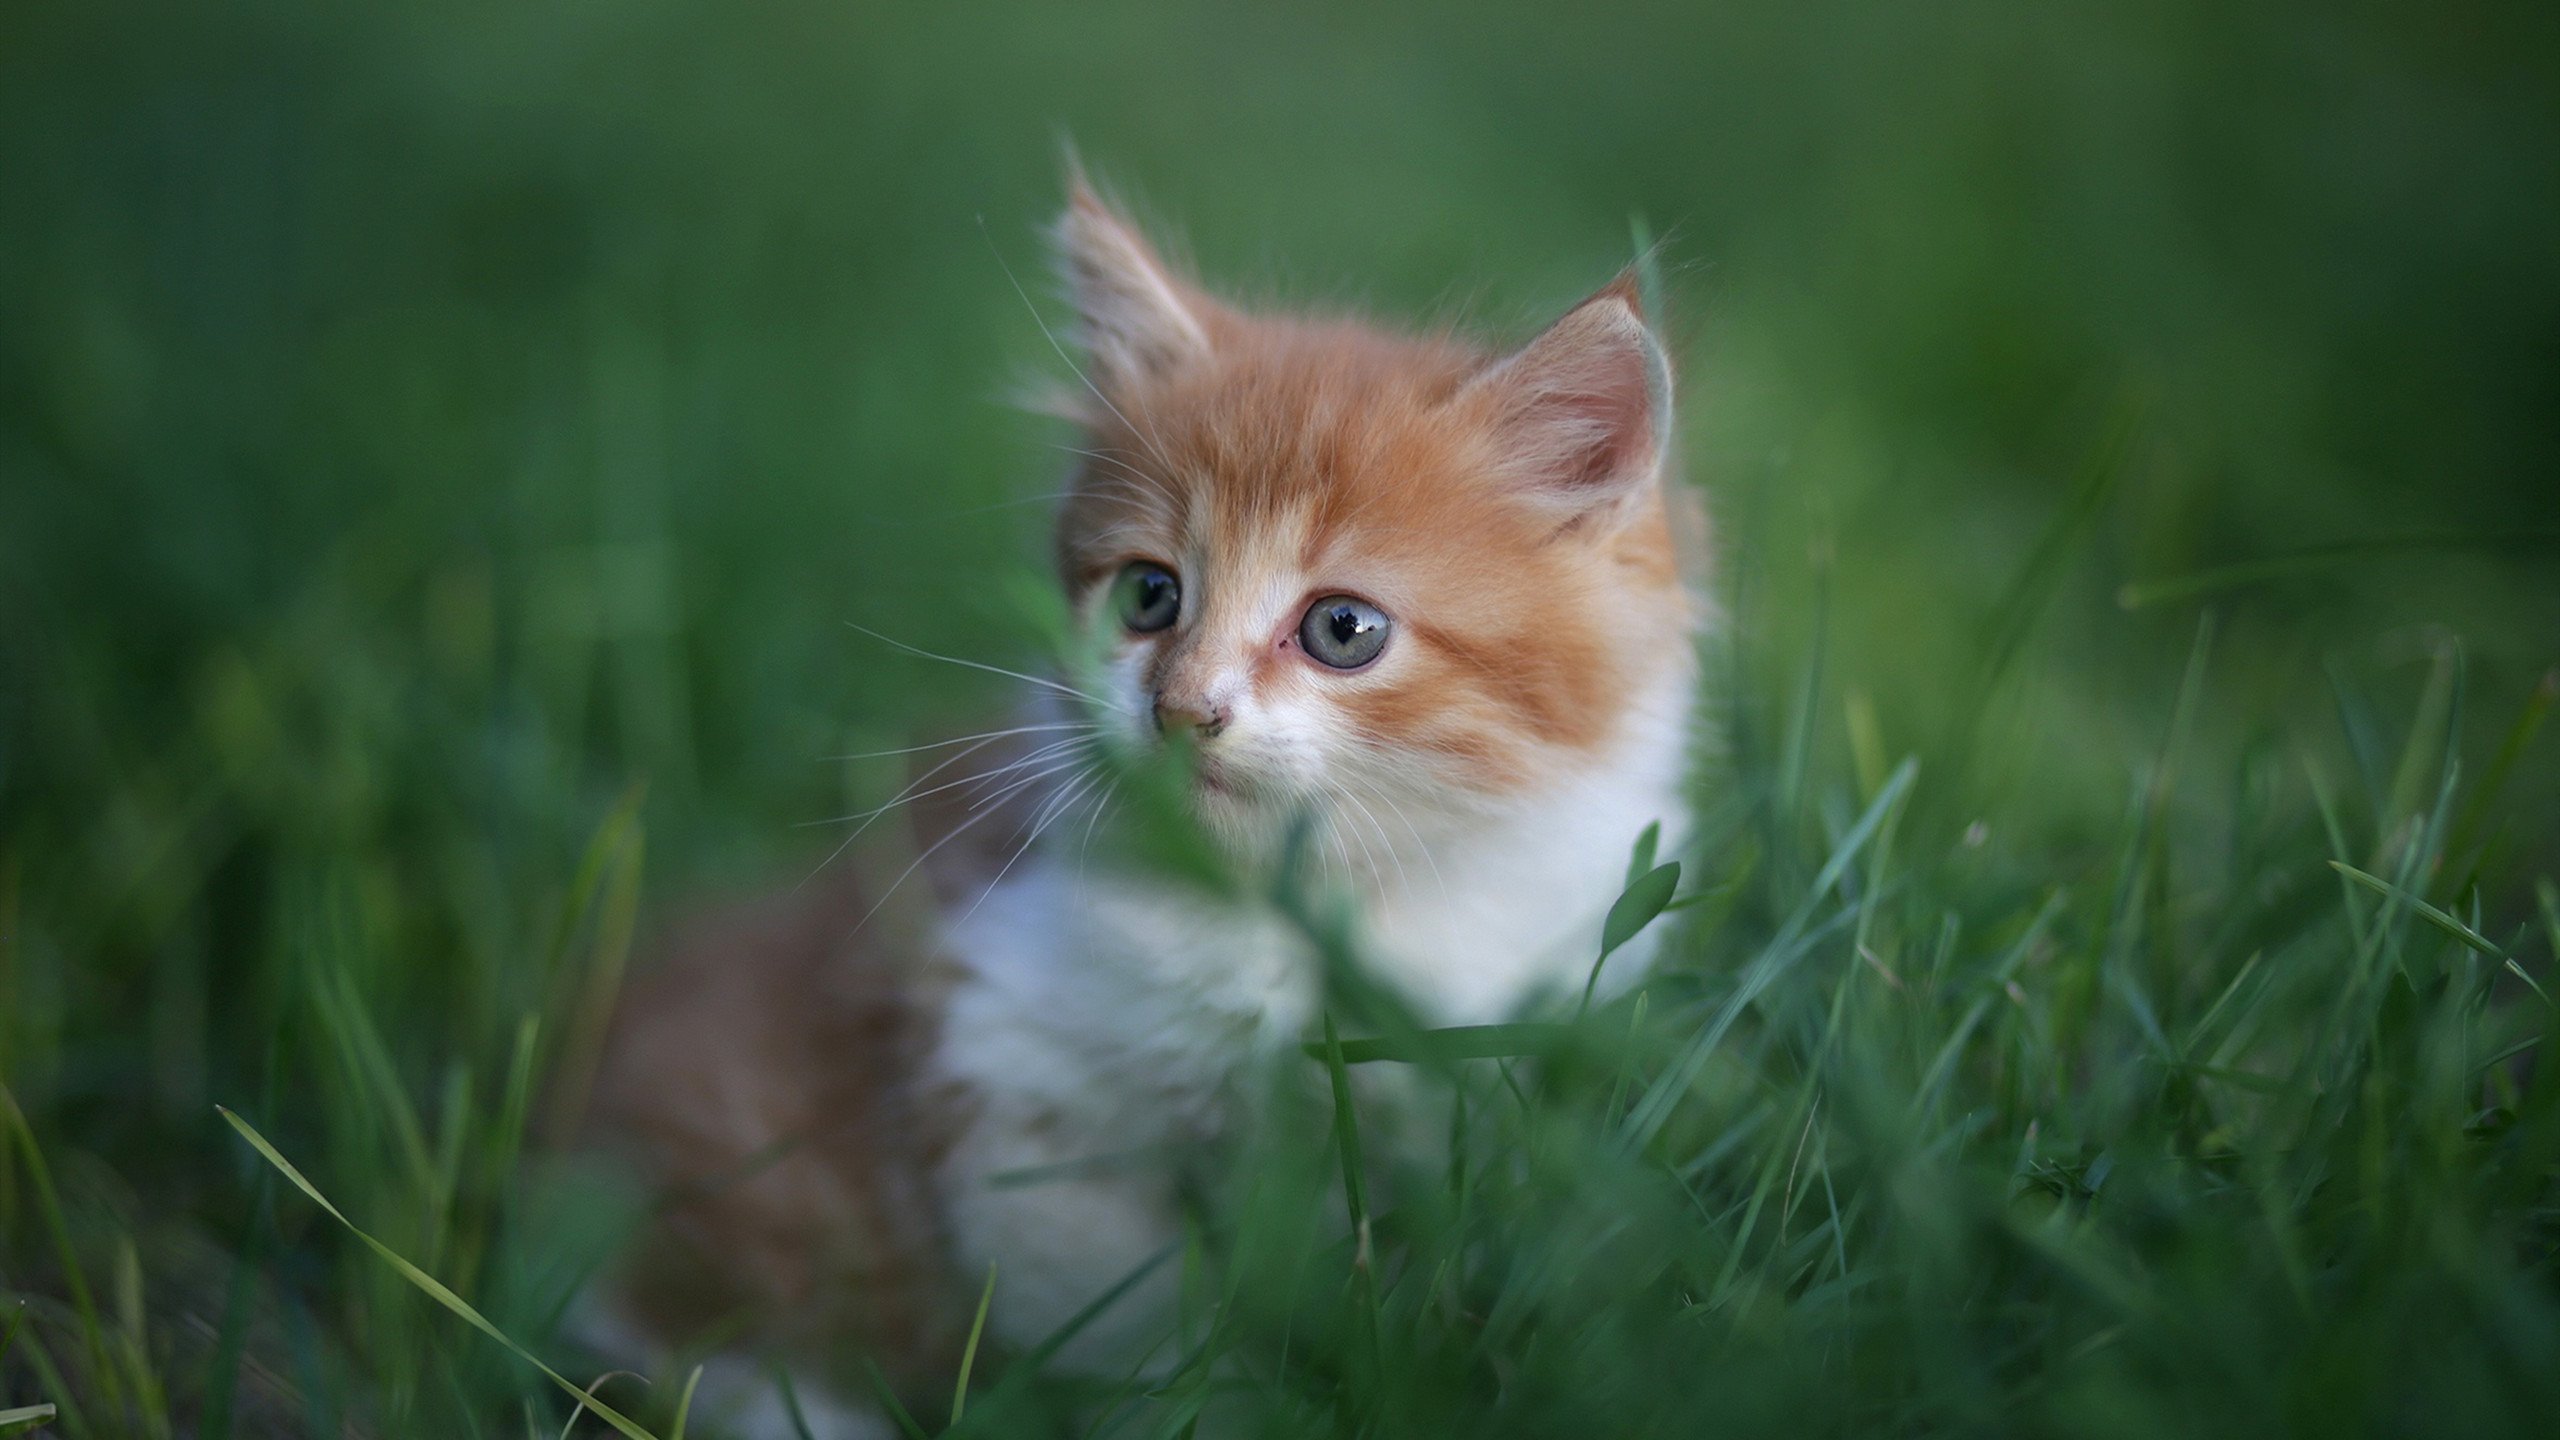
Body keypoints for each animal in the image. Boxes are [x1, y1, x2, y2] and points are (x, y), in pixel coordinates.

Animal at [581, 181, 1699, 1434]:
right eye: (1148, 595)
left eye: (1342, 628)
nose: (1181, 708)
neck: (1312, 911)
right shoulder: (998, 1058)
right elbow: (1129, 1309)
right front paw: (1200, 1401)